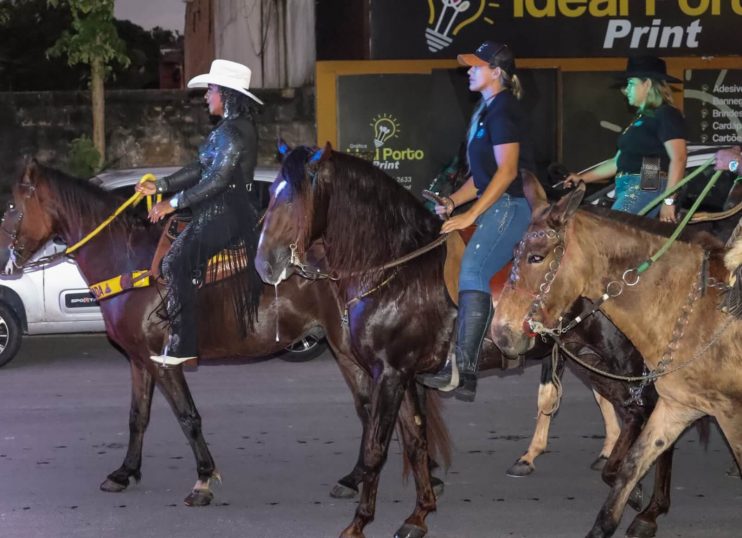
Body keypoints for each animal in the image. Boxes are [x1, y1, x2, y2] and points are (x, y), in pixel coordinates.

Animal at [0, 161, 454, 504]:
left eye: (12, 206)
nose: (8, 261)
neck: (127, 261)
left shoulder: (164, 361)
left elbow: (188, 417)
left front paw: (204, 478)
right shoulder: (139, 360)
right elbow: (137, 417)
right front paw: (125, 472)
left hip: (356, 349)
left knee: (383, 405)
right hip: (349, 351)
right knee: (373, 406)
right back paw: (371, 475)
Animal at [492, 173, 740, 536]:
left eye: (536, 257)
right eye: (512, 252)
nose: (500, 332)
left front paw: (645, 507)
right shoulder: (668, 399)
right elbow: (626, 465)